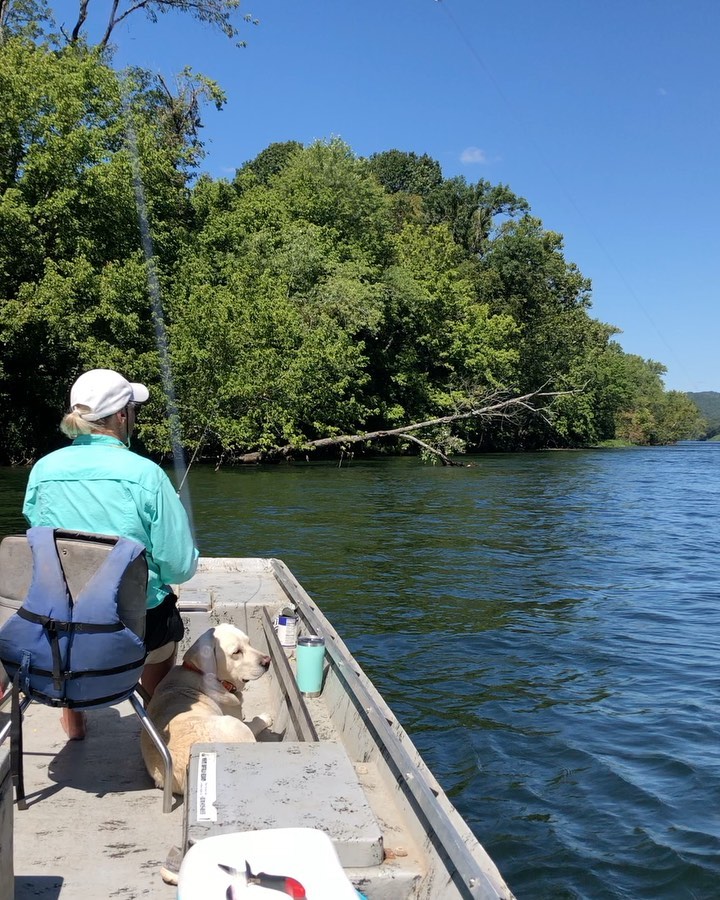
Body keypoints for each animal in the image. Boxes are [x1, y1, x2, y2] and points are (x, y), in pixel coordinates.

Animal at [141, 624, 272, 796]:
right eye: (236, 652)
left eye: (249, 642)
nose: (267, 661)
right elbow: (254, 722)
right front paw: (264, 718)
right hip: (233, 725)